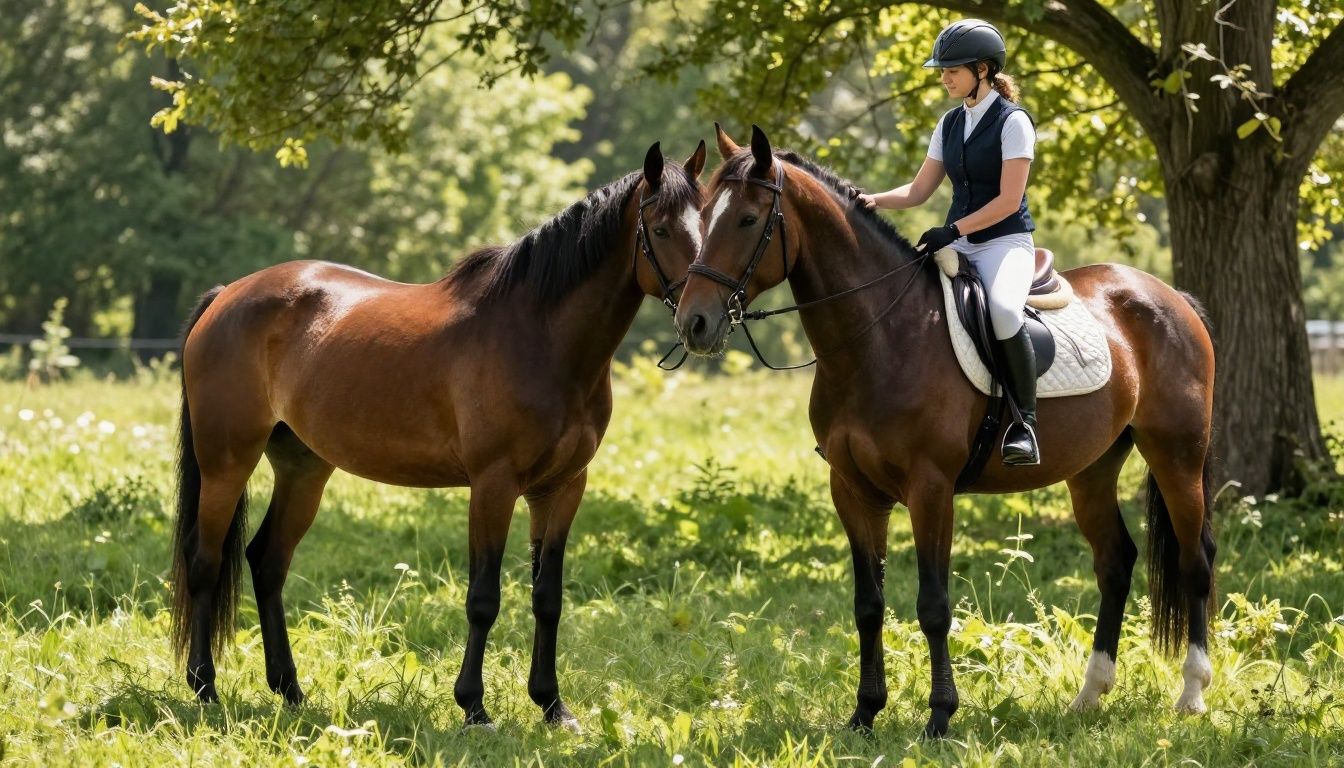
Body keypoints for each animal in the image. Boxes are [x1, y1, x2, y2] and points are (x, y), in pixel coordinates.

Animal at [171, 141, 707, 728]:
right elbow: (484, 599)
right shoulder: (493, 486)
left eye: (708, 223)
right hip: (226, 462)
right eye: (660, 229)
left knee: (268, 563)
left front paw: (552, 705)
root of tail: (229, 294)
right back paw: (205, 687)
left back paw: (290, 690)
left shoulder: (563, 488)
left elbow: (548, 597)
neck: (540, 338)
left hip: (304, 468)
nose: (701, 319)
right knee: (205, 561)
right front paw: (474, 707)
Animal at [674, 125, 1216, 738]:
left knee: (1195, 560)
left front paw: (939, 717)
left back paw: (1192, 693)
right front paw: (864, 713)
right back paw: (1090, 695)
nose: (693, 323)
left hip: (1176, 456)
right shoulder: (853, 492)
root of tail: (1170, 296)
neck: (881, 335)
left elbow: (933, 607)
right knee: (1116, 563)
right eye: (704, 216)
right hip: (1093, 469)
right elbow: (868, 605)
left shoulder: (930, 490)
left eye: (747, 219)